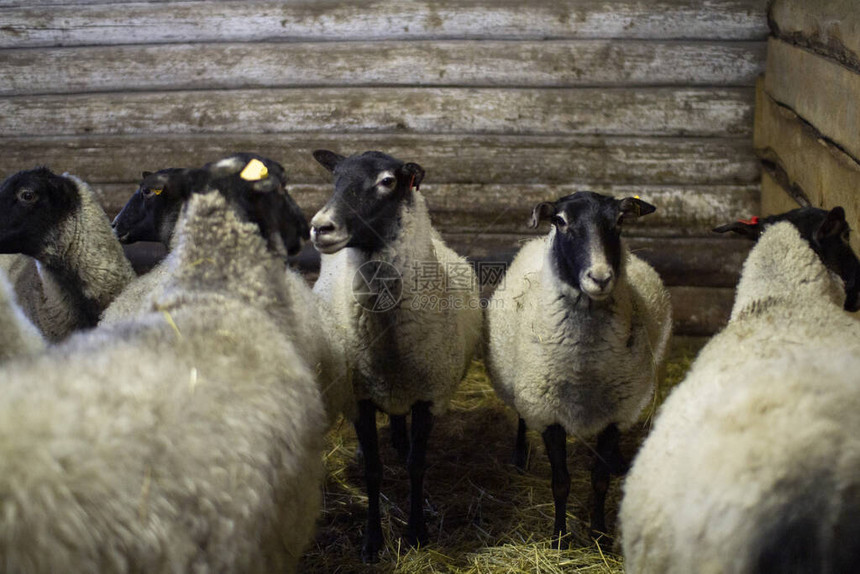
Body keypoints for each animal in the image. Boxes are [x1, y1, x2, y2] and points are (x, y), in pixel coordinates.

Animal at [310, 151, 484, 564]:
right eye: (335, 178)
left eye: (387, 181)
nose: (320, 228)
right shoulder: (361, 396)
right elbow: (374, 471)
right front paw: (373, 541)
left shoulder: (428, 394)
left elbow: (416, 465)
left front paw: (418, 531)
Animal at [484, 192, 672, 544]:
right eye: (560, 221)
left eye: (620, 221)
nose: (600, 278)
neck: (585, 367)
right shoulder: (548, 412)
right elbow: (561, 482)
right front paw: (560, 538)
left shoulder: (617, 412)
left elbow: (600, 480)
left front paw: (599, 533)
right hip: (522, 388)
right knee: (520, 416)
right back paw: (519, 456)